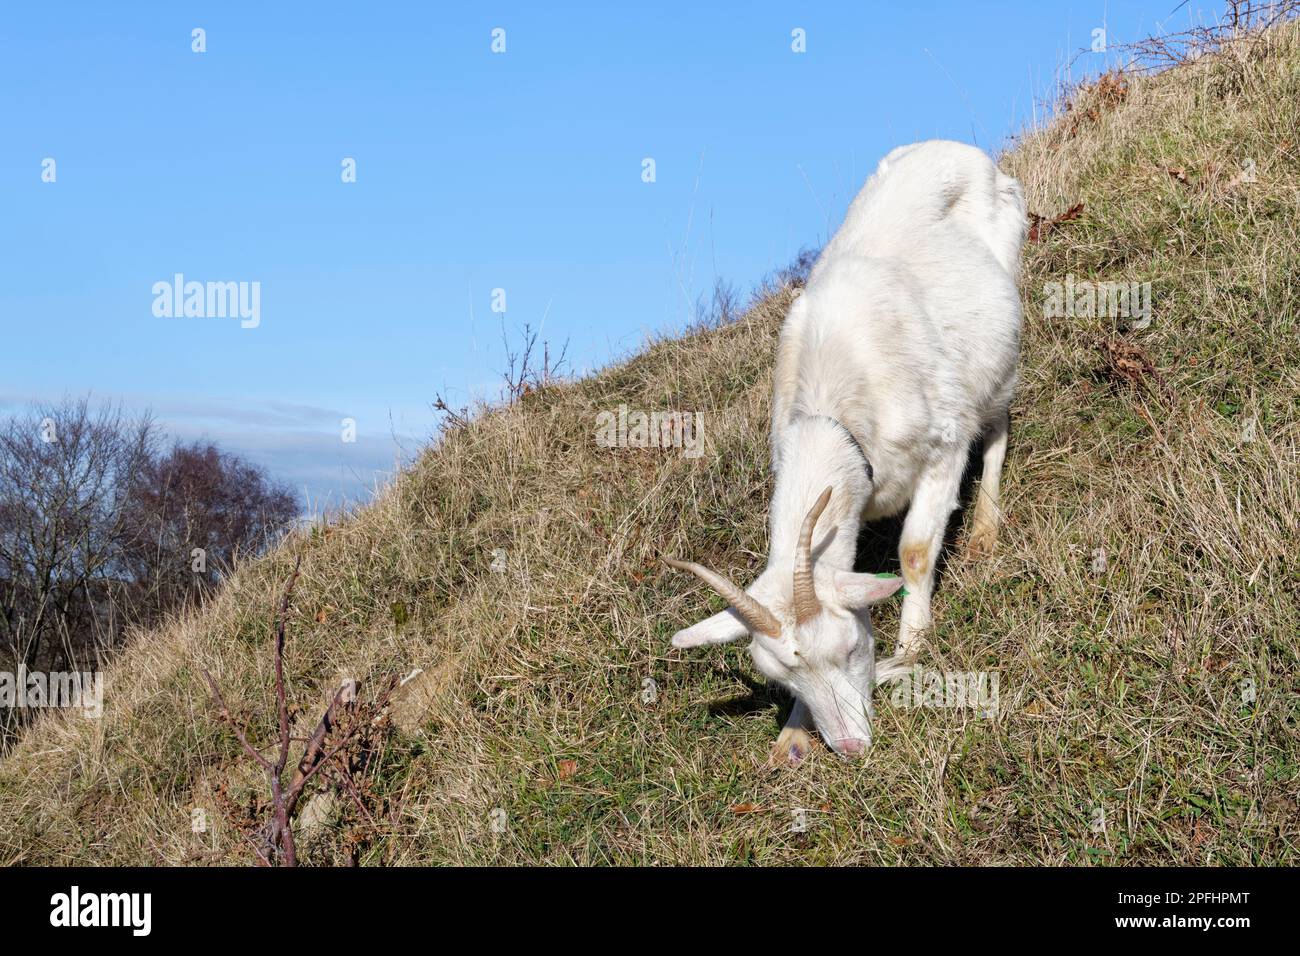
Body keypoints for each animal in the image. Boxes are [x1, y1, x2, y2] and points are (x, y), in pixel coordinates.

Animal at [670, 141, 1024, 764]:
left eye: (851, 648)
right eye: (784, 678)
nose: (851, 745)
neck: (833, 413)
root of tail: (950, 148)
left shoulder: (943, 445)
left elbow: (914, 552)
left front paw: (911, 648)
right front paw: (792, 735)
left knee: (997, 423)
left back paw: (985, 527)